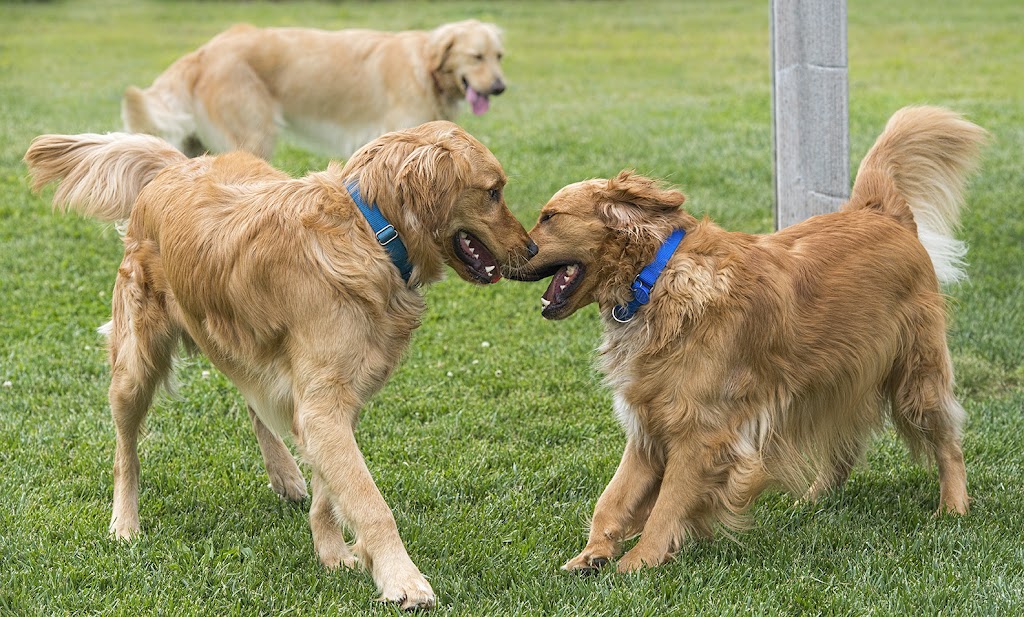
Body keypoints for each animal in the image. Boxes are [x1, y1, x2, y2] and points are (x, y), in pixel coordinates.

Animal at [24, 120, 536, 609]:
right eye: (494, 191)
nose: (532, 251)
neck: (371, 233)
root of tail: (177, 165)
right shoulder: (323, 405)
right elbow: (370, 502)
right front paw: (402, 579)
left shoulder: (335, 400)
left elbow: (332, 491)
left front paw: (333, 553)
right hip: (136, 363)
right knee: (125, 450)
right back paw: (125, 522)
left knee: (253, 398)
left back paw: (284, 473)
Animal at [123, 21, 507, 159]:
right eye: (476, 57)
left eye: (499, 56)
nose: (500, 87)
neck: (426, 69)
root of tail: (203, 52)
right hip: (254, 138)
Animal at [507, 107, 987, 573]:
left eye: (549, 217)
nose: (513, 254)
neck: (656, 279)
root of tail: (880, 212)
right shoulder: (648, 424)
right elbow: (613, 497)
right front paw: (593, 554)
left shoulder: (699, 433)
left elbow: (666, 506)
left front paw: (638, 562)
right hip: (832, 380)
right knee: (843, 446)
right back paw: (813, 499)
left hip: (916, 376)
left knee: (948, 442)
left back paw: (953, 506)